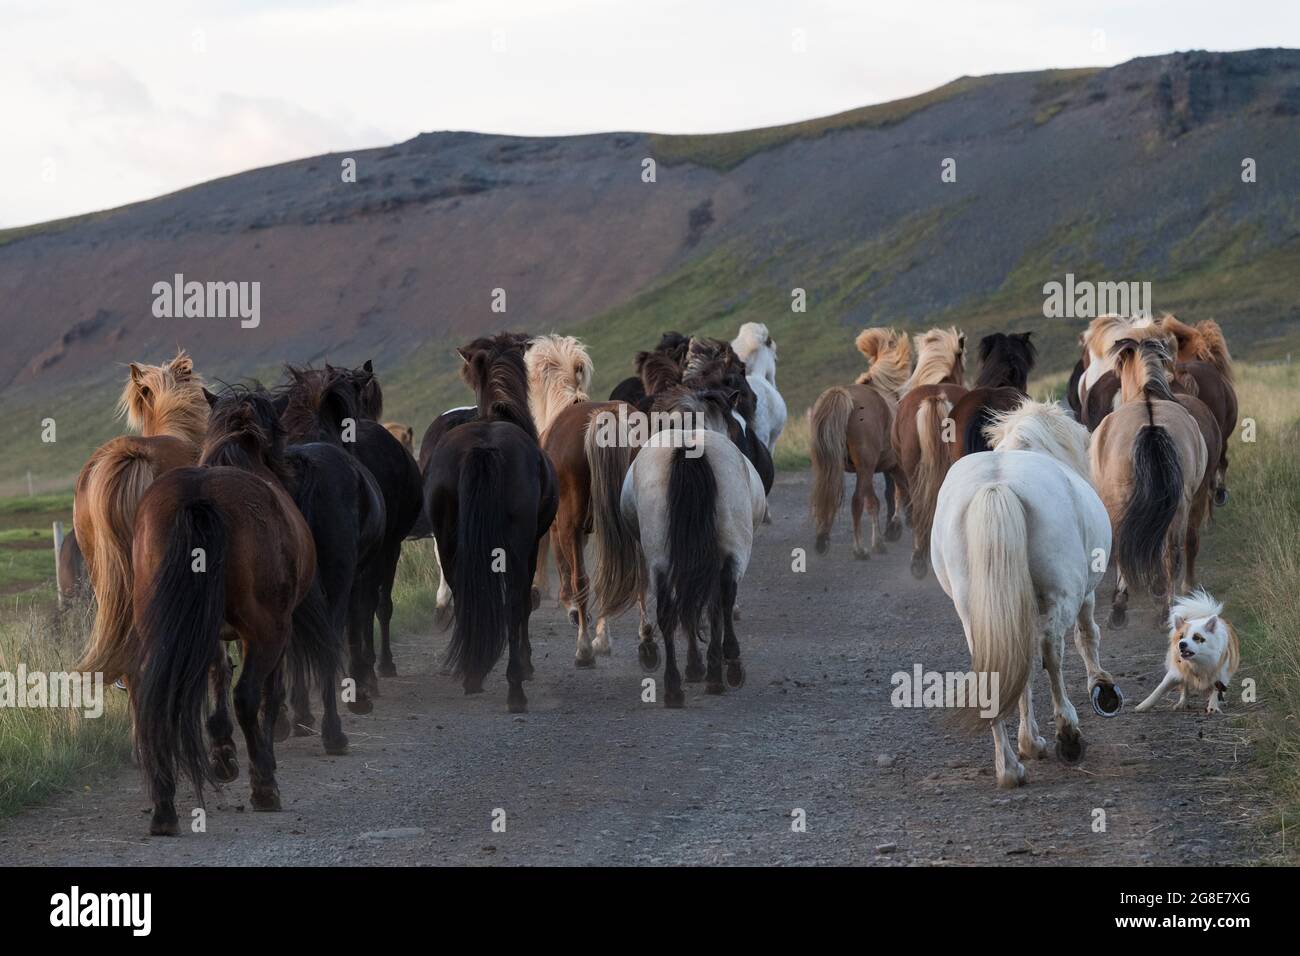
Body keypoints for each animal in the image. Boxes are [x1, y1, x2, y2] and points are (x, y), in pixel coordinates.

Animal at [128, 387, 334, 834]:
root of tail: (199, 498)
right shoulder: (273, 632)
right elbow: (267, 696)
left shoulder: (209, 631)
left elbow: (216, 675)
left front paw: (222, 753)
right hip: (268, 630)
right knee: (249, 695)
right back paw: (264, 786)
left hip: (161, 629)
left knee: (154, 697)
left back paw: (164, 806)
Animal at [425, 334, 558, 711]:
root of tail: (483, 448)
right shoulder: (531, 545)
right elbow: (524, 602)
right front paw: (527, 665)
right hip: (517, 544)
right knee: (513, 601)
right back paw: (515, 687)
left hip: (449, 541)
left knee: (462, 593)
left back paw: (472, 673)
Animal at [809, 328, 912, 557]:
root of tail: (843, 395)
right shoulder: (894, 466)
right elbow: (899, 493)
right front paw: (891, 530)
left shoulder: (883, 467)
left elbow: (881, 499)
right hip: (866, 467)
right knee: (858, 501)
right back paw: (861, 548)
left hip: (830, 465)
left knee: (826, 496)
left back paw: (822, 539)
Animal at [931, 399, 1122, 788]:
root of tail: (996, 486)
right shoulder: (1083, 595)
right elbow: (1087, 636)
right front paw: (1101, 685)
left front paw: (1029, 742)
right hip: (1063, 594)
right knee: (1052, 648)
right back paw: (1068, 735)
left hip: (976, 609)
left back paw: (1009, 767)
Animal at [1090, 336, 1208, 628]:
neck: (1147, 395)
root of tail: (1152, 424)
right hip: (1180, 504)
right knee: (1173, 552)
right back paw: (1168, 608)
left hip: (1120, 502)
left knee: (1124, 548)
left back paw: (1120, 608)